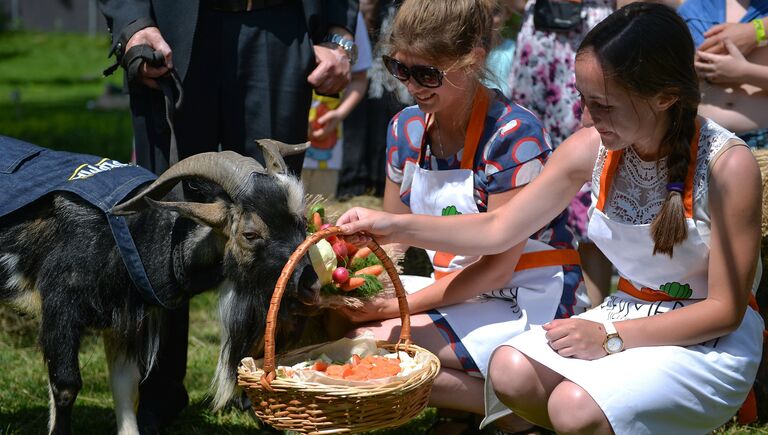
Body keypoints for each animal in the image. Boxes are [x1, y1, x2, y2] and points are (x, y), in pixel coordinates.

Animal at [0, 137, 318, 435]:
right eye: (250, 235)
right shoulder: (59, 306)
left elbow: (125, 386)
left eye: (302, 221)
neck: (133, 236)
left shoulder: (123, 322)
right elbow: (65, 386)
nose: (310, 285)